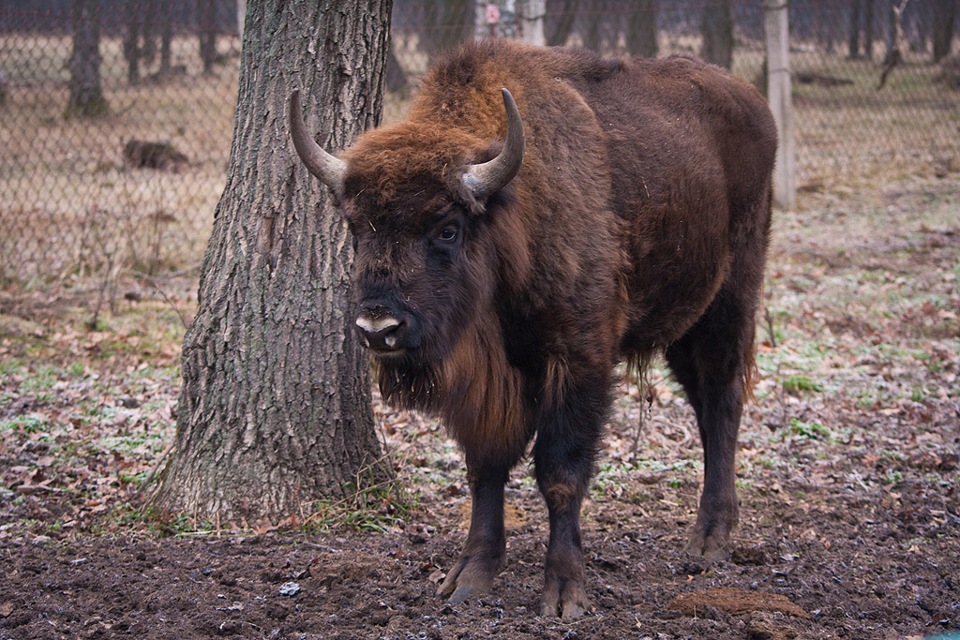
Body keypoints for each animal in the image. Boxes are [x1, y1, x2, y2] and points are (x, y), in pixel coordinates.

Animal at [288, 37, 776, 616]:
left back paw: (710, 540)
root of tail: (755, 103)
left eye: (447, 229)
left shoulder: (578, 360)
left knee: (723, 404)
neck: (509, 222)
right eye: (357, 228)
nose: (378, 328)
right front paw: (470, 576)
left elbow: (559, 471)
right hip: (684, 323)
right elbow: (485, 467)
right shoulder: (490, 380)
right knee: (704, 407)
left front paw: (564, 592)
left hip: (728, 305)